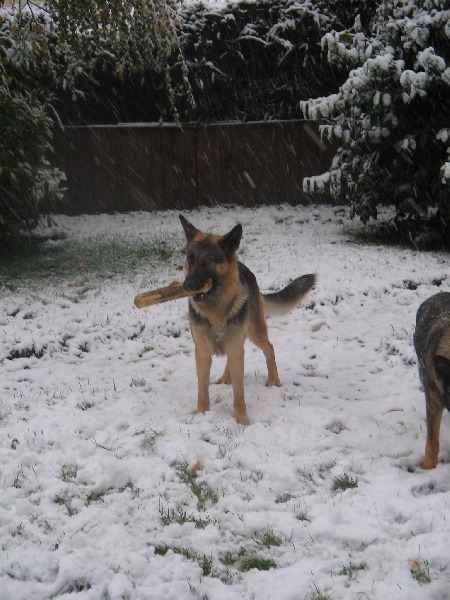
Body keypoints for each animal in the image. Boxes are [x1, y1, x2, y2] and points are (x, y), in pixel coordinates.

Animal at [180, 213, 316, 424]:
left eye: (209, 260)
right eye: (190, 259)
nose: (187, 286)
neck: (215, 311)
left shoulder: (236, 349)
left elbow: (239, 393)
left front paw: (242, 422)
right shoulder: (202, 352)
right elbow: (202, 391)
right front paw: (203, 416)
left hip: (254, 332)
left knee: (269, 348)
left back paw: (273, 380)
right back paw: (226, 378)